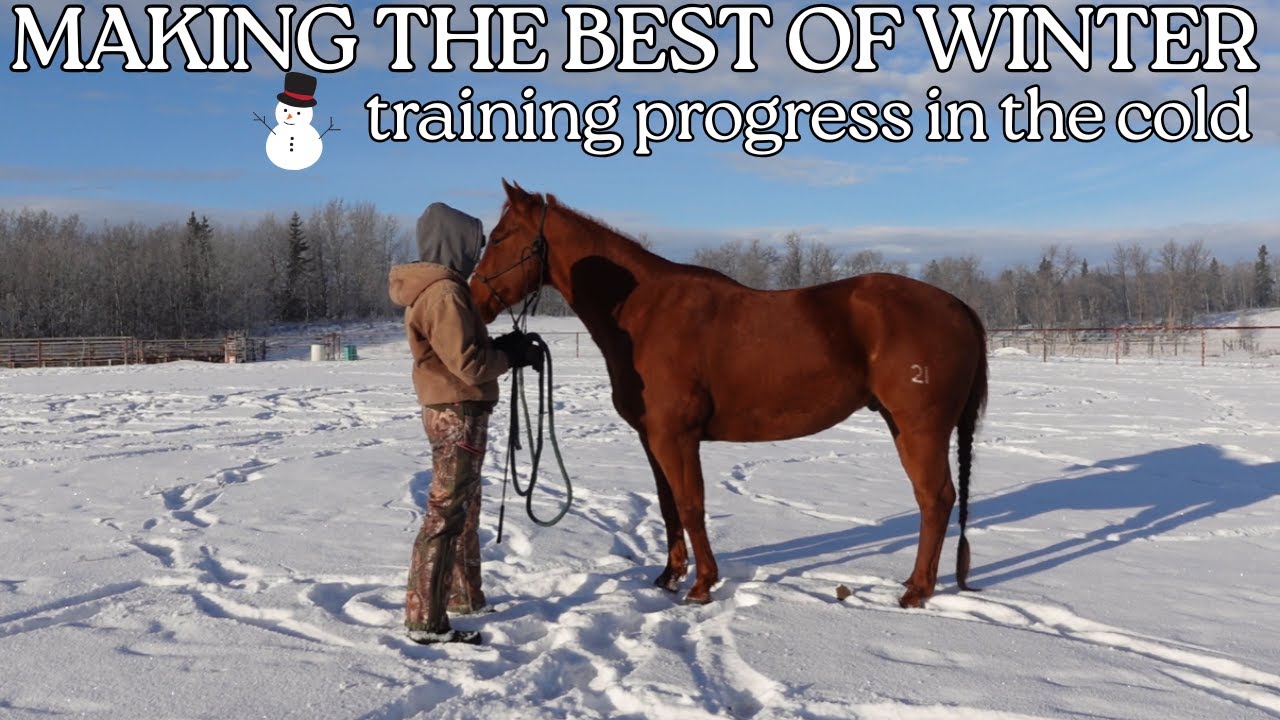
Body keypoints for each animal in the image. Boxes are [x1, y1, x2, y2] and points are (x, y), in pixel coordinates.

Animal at [471, 181, 988, 609]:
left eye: (499, 237)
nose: (474, 299)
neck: (644, 312)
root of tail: (959, 306)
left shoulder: (677, 437)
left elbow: (691, 504)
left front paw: (701, 585)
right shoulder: (652, 439)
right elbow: (668, 506)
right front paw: (669, 576)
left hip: (920, 429)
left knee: (935, 498)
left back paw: (916, 591)